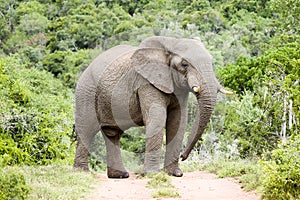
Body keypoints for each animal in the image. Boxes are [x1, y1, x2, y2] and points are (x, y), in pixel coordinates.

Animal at [73, 35, 232, 178]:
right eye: (184, 64)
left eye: (211, 62)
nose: (183, 156)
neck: (170, 44)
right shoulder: (146, 82)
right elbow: (158, 118)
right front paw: (152, 174)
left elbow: (178, 122)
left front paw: (175, 174)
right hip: (86, 92)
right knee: (86, 129)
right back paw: (82, 173)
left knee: (112, 134)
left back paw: (120, 175)